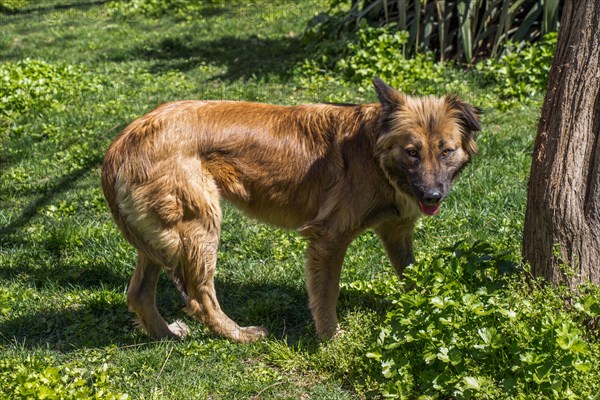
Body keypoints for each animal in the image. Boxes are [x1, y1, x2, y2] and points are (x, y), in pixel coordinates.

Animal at [102, 79, 478, 344]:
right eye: (412, 152)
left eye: (445, 151)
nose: (432, 195)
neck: (374, 152)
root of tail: (121, 142)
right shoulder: (329, 237)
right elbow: (327, 293)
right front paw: (330, 338)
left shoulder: (396, 230)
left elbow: (411, 274)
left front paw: (424, 309)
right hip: (198, 228)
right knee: (199, 298)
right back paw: (238, 334)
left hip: (164, 238)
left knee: (138, 294)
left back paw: (166, 335)